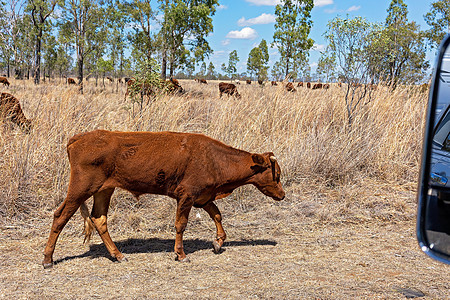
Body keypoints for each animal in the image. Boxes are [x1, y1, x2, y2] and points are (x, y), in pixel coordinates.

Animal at [43, 129, 284, 268]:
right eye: (277, 175)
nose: (282, 194)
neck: (214, 159)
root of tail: (79, 137)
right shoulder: (186, 195)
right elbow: (181, 225)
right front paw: (181, 254)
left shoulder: (203, 197)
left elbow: (217, 215)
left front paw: (218, 241)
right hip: (80, 188)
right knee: (60, 216)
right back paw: (48, 259)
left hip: (104, 189)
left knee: (99, 219)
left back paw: (118, 255)